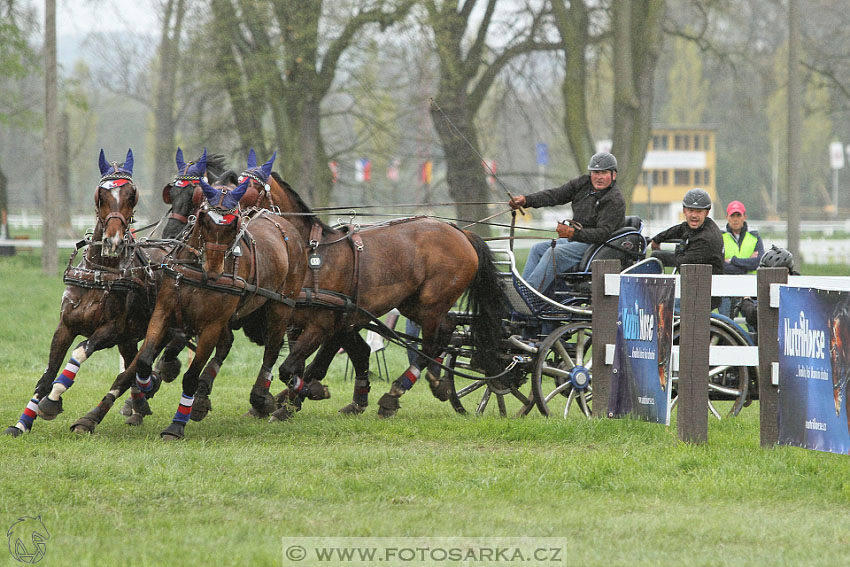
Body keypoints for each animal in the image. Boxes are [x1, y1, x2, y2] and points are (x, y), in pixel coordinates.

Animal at [3, 149, 172, 438]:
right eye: (100, 195)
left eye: (132, 195)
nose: (113, 241)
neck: (100, 275)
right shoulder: (65, 326)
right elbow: (47, 374)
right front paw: (22, 423)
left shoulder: (111, 330)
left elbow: (80, 351)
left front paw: (52, 401)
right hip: (129, 336)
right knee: (131, 364)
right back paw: (139, 403)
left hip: (157, 330)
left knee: (129, 372)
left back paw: (91, 418)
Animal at [130, 166, 308, 442]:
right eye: (203, 216)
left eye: (233, 224)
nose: (214, 268)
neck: (196, 269)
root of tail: (283, 224)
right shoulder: (164, 311)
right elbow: (145, 359)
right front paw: (147, 386)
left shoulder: (212, 325)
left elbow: (191, 377)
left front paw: (176, 426)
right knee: (229, 345)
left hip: (281, 304)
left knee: (273, 347)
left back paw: (261, 396)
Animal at [200, 169, 510, 422]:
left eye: (243, 187)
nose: (220, 216)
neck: (311, 253)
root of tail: (460, 232)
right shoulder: (315, 322)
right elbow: (314, 364)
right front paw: (291, 400)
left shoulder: (325, 323)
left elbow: (298, 367)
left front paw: (293, 400)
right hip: (412, 304)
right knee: (445, 331)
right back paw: (434, 381)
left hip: (430, 303)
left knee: (436, 339)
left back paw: (397, 393)